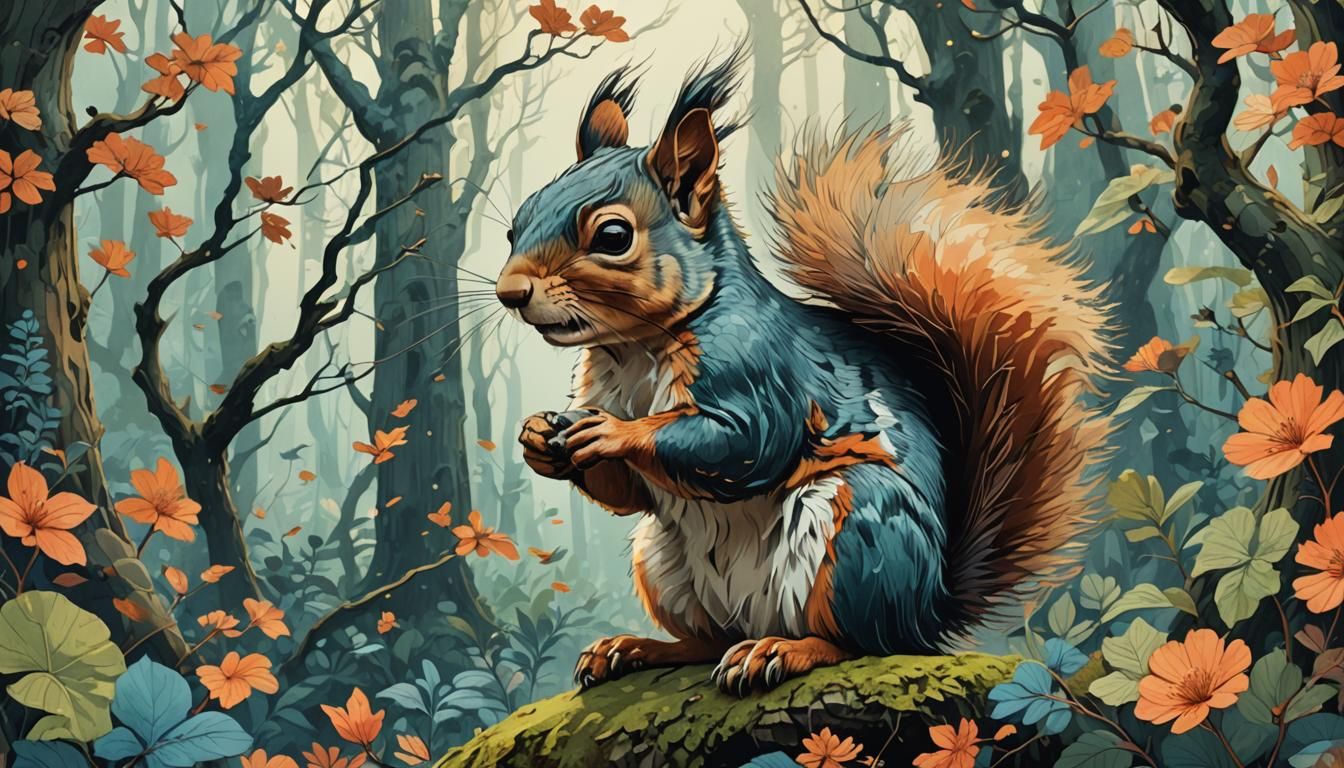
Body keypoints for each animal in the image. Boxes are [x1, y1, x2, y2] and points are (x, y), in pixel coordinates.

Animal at [494, 49, 1112, 695]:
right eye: (516, 223)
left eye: (613, 236)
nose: (510, 292)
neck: (634, 348)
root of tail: (930, 610)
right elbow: (630, 492)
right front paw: (538, 438)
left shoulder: (761, 371)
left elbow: (744, 441)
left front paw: (615, 432)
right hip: (663, 561)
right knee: (706, 640)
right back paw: (640, 647)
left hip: (859, 532)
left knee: (859, 642)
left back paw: (782, 651)